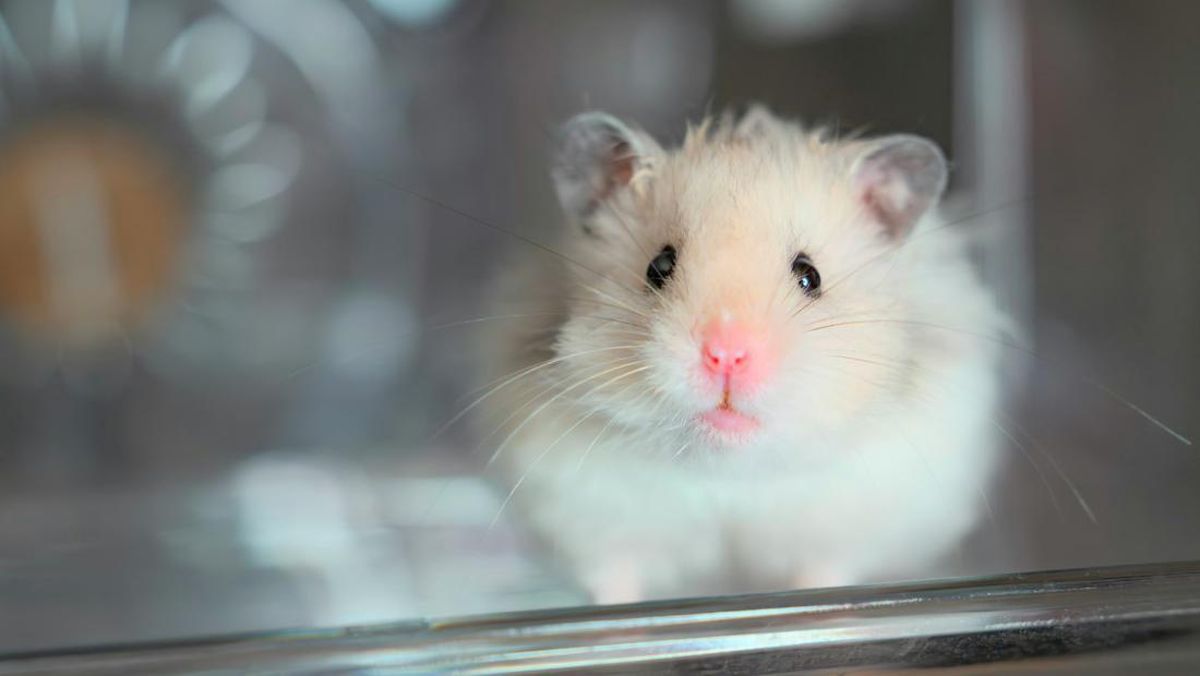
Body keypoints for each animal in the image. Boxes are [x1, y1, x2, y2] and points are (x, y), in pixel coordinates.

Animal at [479, 106, 1008, 604]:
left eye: (809, 275)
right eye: (658, 266)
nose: (727, 355)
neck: (730, 469)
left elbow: (824, 572)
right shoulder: (584, 514)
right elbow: (615, 579)